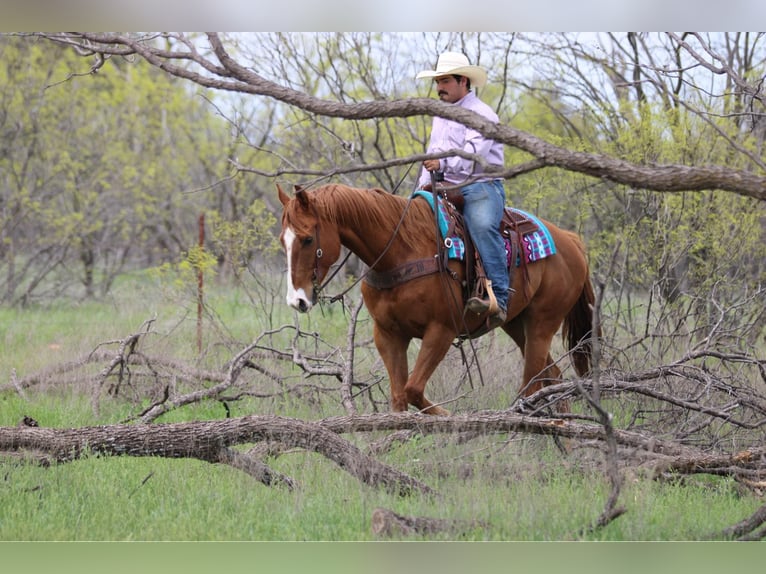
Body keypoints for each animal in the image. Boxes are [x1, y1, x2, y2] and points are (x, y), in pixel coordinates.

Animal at [280, 184, 600, 414]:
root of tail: (571, 241)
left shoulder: (441, 331)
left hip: (542, 323)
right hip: (516, 323)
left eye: (308, 239)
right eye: (283, 241)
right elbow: (399, 398)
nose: (297, 301)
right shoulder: (388, 335)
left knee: (532, 383)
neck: (401, 250)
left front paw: (448, 418)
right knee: (552, 375)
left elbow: (413, 390)